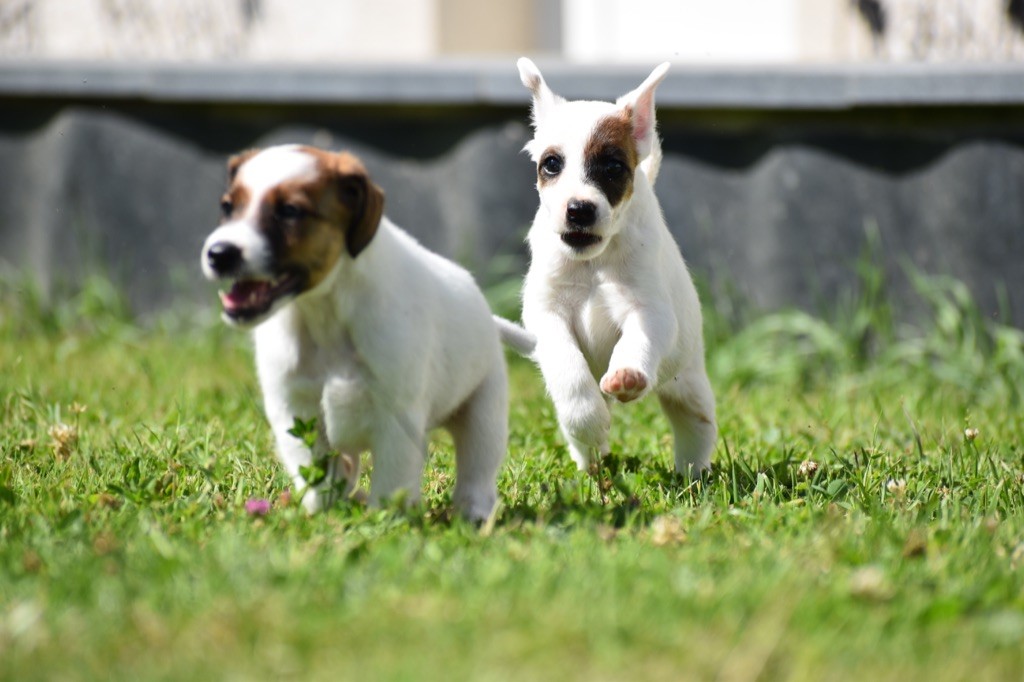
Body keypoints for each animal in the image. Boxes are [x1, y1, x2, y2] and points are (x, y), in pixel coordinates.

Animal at [199, 142, 507, 516]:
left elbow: (391, 484)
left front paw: (384, 521)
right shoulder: (294, 409)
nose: (218, 254)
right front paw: (325, 509)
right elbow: (319, 474)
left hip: (484, 412)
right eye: (227, 207)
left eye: (289, 211)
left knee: (477, 469)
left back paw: (473, 512)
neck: (325, 314)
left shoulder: (397, 420)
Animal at [507, 59, 716, 477]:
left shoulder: (650, 310)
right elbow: (568, 370)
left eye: (614, 167)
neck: (593, 262)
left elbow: (637, 341)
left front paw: (628, 374)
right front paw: (588, 419)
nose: (579, 209)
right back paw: (592, 459)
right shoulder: (547, 314)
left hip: (688, 386)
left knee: (696, 426)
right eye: (551, 164)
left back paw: (692, 474)